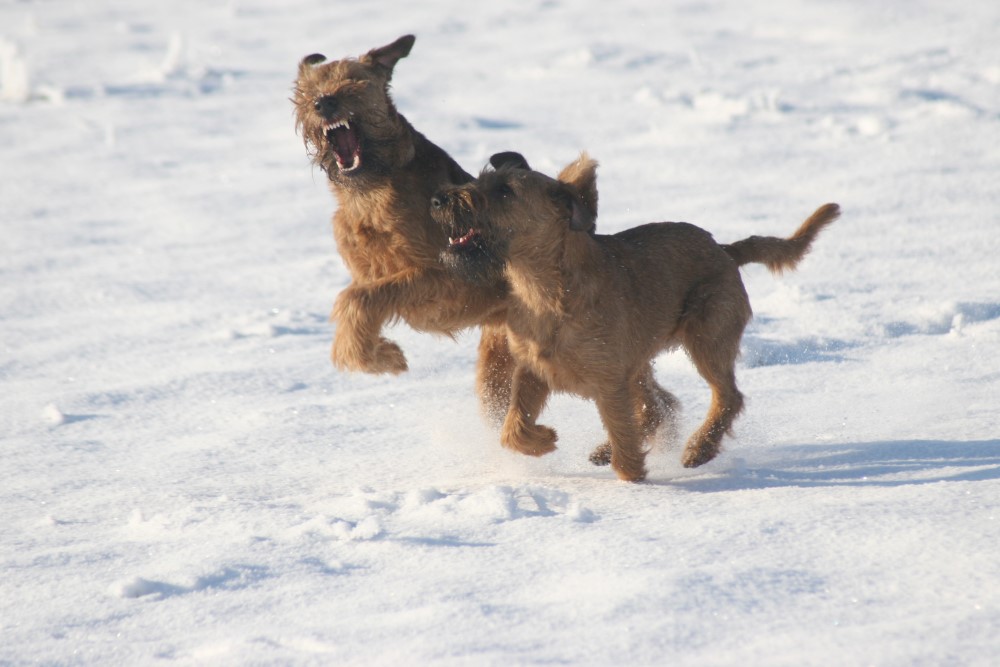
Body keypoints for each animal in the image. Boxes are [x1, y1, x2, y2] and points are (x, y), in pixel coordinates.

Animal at [292, 34, 516, 420]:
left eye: (354, 79)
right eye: (308, 90)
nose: (323, 102)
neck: (370, 192)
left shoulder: (452, 278)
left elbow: (360, 298)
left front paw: (384, 357)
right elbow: (361, 299)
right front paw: (378, 355)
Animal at [434, 154, 840, 482]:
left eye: (504, 190)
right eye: (480, 179)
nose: (438, 199)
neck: (545, 290)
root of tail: (725, 249)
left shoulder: (609, 380)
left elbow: (621, 429)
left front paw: (634, 482)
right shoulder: (534, 370)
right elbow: (512, 428)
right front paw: (544, 440)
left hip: (707, 338)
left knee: (726, 396)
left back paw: (699, 449)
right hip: (643, 362)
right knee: (659, 408)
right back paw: (609, 450)